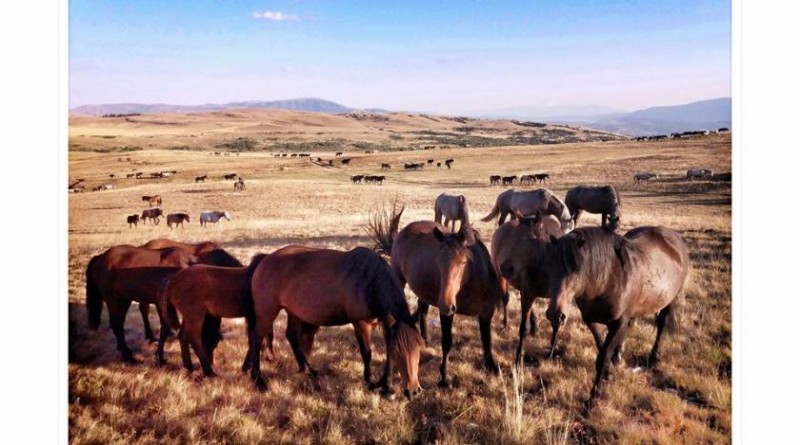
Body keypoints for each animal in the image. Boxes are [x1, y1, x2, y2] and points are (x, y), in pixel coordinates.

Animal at [245, 245, 424, 398]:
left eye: (419, 345)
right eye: (399, 349)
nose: (413, 391)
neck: (370, 279)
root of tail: (265, 259)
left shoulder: (384, 323)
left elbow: (387, 353)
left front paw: (387, 386)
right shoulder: (361, 324)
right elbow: (367, 353)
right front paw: (371, 382)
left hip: (292, 311)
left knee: (292, 336)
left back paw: (308, 370)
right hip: (267, 312)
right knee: (256, 340)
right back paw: (258, 381)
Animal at [368, 203, 504, 386]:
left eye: (464, 262)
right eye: (438, 262)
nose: (446, 305)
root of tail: (401, 233)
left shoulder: (486, 312)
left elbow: (487, 339)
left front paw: (491, 365)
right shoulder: (447, 314)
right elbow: (447, 342)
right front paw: (444, 377)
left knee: (422, 306)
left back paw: (424, 338)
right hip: (399, 278)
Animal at [490, 210, 564, 362]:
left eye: (531, 239)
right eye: (513, 237)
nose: (506, 268)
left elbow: (556, 320)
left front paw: (553, 350)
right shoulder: (528, 292)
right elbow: (522, 327)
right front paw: (519, 356)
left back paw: (535, 327)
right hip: (501, 277)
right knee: (505, 299)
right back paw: (505, 324)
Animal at [548, 227, 692, 408]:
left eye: (576, 270)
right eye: (551, 266)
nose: (555, 315)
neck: (608, 279)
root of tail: (674, 237)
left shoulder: (618, 323)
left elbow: (602, 357)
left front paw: (593, 398)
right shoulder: (590, 319)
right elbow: (601, 347)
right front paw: (609, 372)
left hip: (669, 301)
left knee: (661, 326)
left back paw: (653, 358)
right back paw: (618, 356)